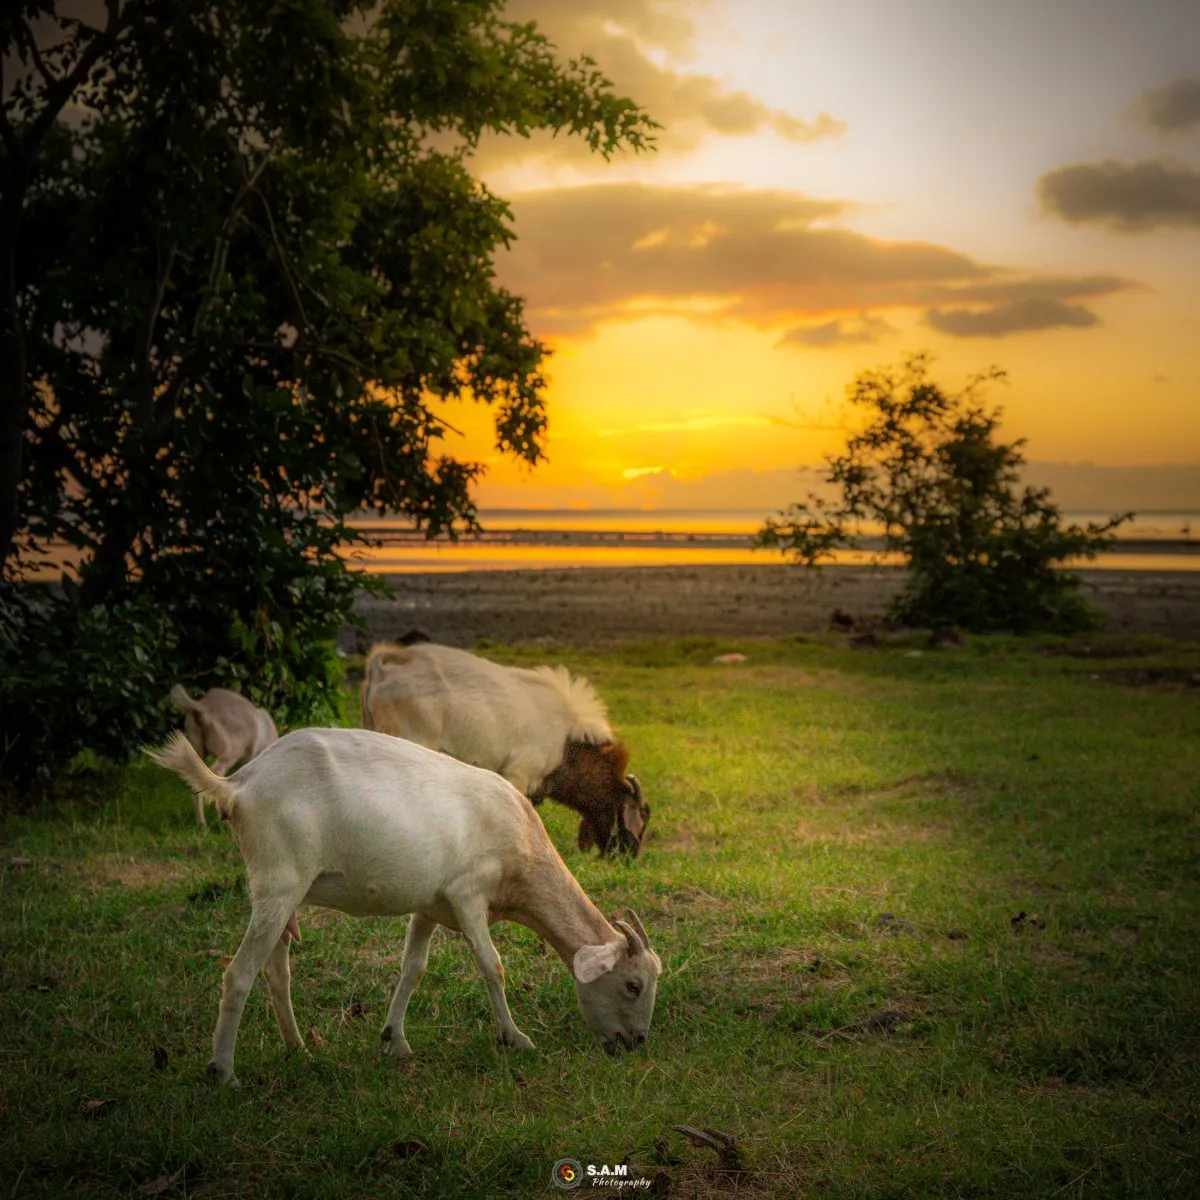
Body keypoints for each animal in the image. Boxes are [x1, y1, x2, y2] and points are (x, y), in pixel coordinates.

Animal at [145, 728, 661, 1084]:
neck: (522, 846)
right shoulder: (468, 894)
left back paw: (299, 1050)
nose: (636, 1042)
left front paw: (394, 1039)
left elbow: (413, 968)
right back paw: (223, 1070)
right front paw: (515, 1038)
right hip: (278, 882)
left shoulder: (430, 905)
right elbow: (492, 966)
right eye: (633, 984)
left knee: (275, 972)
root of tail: (238, 785)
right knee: (238, 974)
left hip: (281, 894)